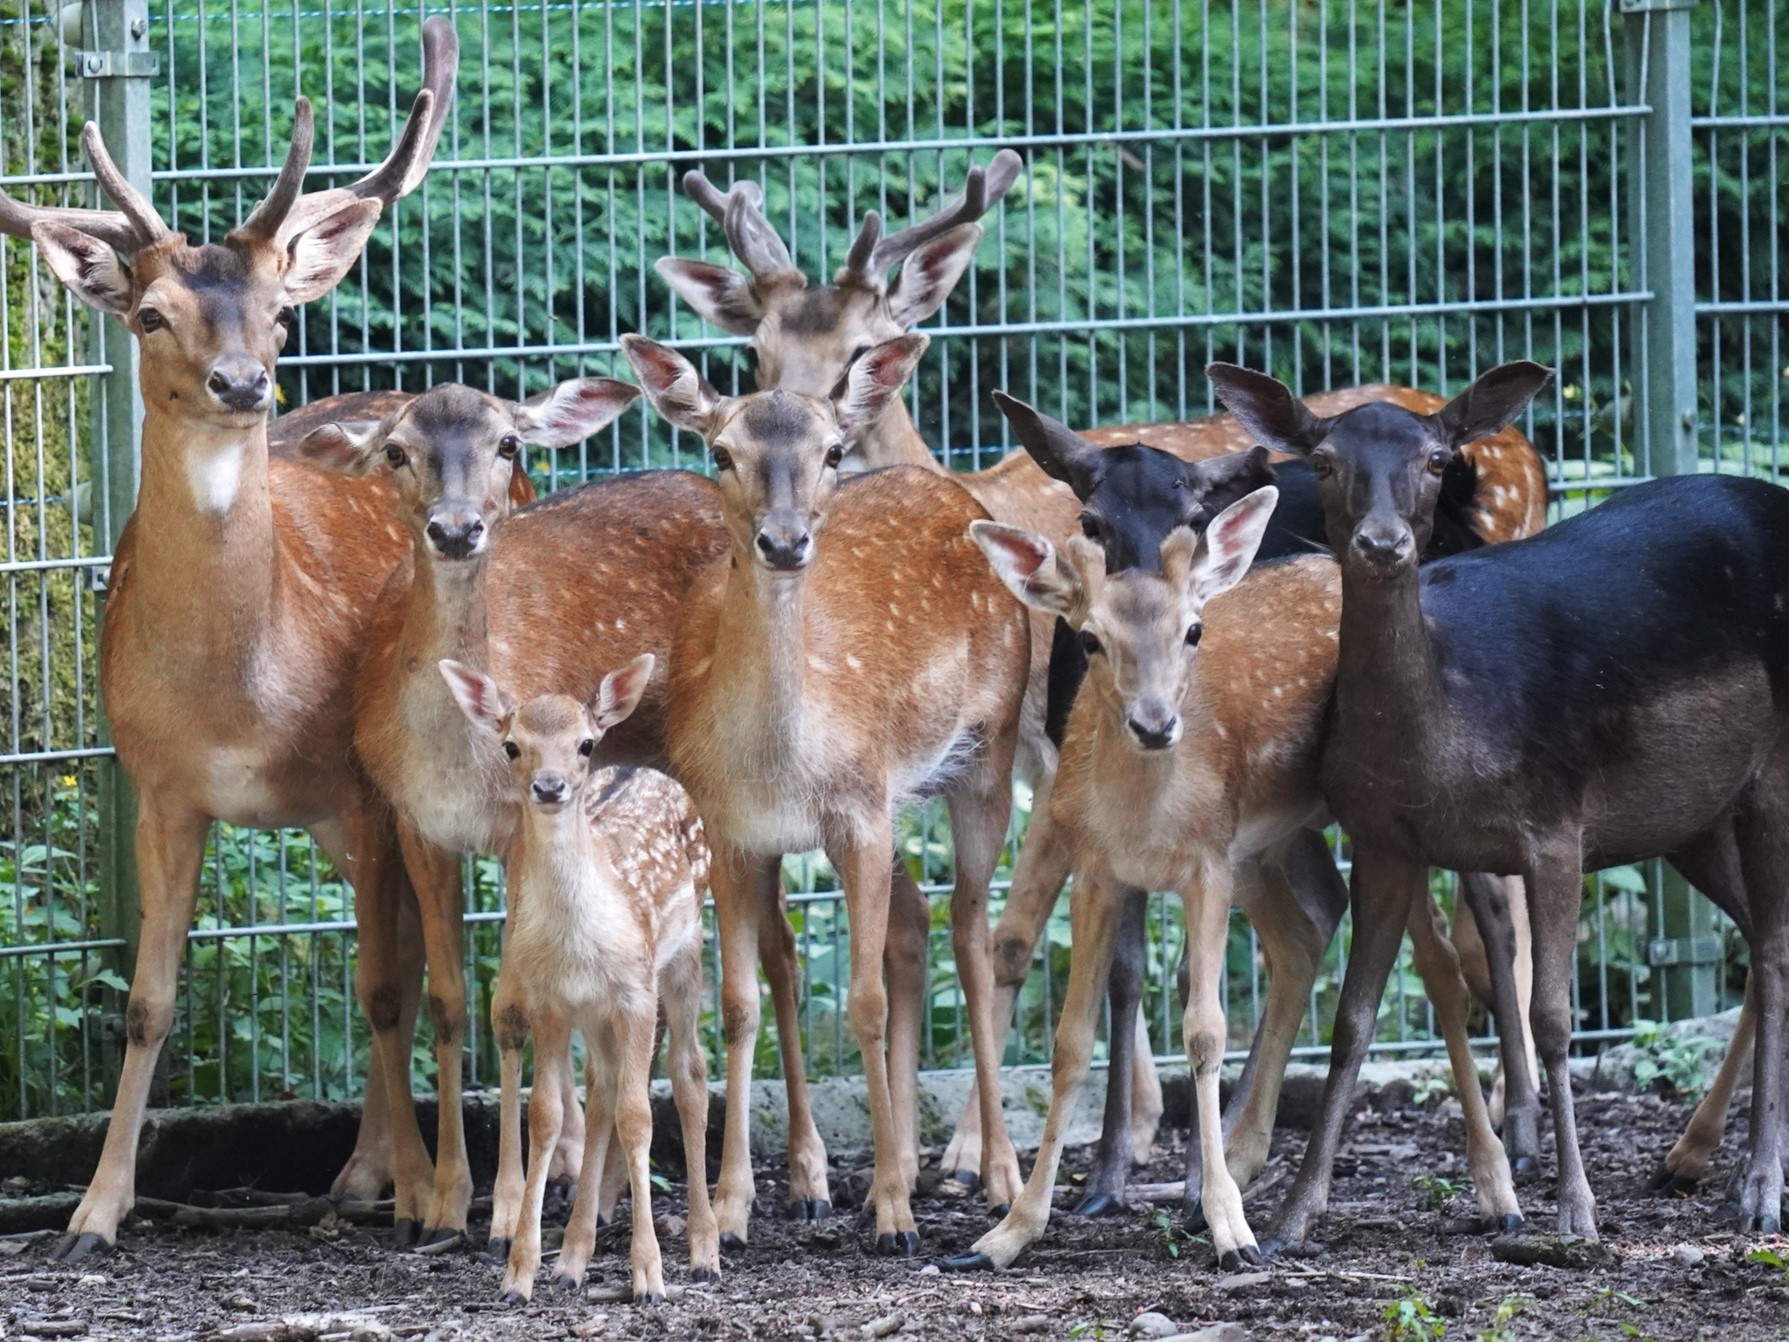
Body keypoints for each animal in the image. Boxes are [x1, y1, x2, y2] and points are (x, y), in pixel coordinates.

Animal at [0, 23, 461, 1259]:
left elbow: (381, 986)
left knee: (425, 954)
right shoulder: (160, 786)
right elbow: (148, 1001)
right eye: (151, 312)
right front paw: (94, 1213)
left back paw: (417, 1178)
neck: (235, 704)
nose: (243, 382)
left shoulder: (359, 784)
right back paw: (361, 1170)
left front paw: (422, 1195)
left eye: (281, 315)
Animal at [288, 373, 636, 1245]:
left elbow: (512, 1003)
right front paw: (444, 1203)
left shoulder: (519, 831)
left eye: (506, 442)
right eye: (395, 450)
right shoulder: (417, 823)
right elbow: (450, 1001)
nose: (454, 528)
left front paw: (510, 1205)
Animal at [440, 658, 719, 1309]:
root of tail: (647, 768)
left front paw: (650, 1277)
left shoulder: (636, 993)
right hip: (593, 1015)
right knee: (601, 1088)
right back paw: (571, 1259)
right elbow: (547, 1114)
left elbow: (640, 1116)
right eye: (511, 745)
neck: (578, 942)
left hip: (686, 953)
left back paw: (705, 1251)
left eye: (585, 744)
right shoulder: (551, 1003)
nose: (549, 786)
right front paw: (519, 1275)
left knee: (690, 1074)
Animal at [618, 334, 1030, 1252]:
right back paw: (893, 1169)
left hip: (987, 752)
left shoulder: (858, 813)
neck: (780, 763)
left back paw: (993, 1175)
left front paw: (894, 1214)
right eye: (720, 451)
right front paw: (734, 1209)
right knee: (912, 924)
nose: (783, 540)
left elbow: (864, 1003)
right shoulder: (732, 832)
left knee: (974, 934)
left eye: (833, 452)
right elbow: (739, 1005)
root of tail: (953, 487)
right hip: (899, 800)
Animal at [1202, 359, 1789, 1252]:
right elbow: (1352, 1020)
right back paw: (1690, 1159)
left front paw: (1575, 1209)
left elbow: (1551, 1014)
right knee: (1760, 939)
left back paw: (1757, 1187)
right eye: (1326, 461)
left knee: (1774, 949)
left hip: (1771, 774)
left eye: (1438, 460)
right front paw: (1293, 1215)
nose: (1382, 543)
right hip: (1690, 817)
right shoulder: (1382, 839)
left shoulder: (1555, 826)